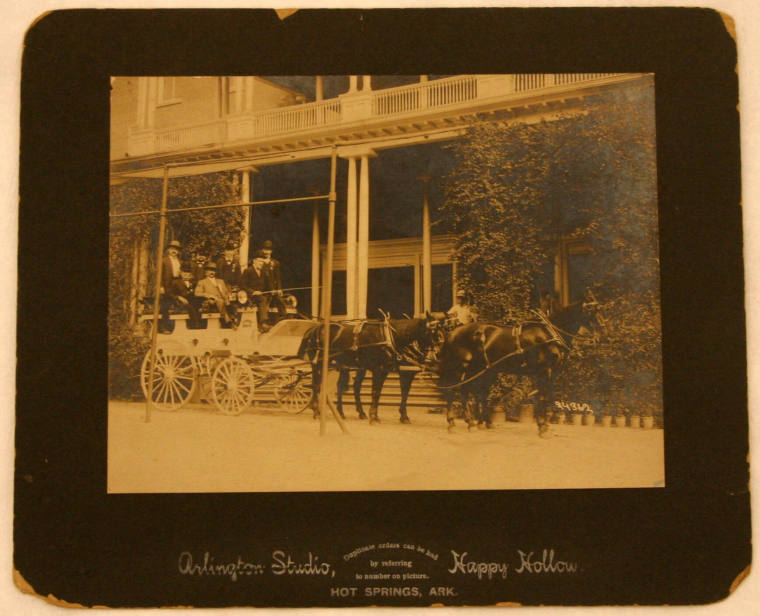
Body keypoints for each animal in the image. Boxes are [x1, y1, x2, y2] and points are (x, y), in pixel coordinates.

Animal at [296, 318, 440, 424]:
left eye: (439, 331)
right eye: (430, 332)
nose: (436, 353)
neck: (388, 336)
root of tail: (315, 328)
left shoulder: (389, 370)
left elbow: (396, 393)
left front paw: (399, 416)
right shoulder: (380, 370)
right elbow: (376, 393)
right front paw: (374, 416)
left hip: (343, 365)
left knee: (343, 386)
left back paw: (343, 412)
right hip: (319, 363)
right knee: (316, 384)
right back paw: (316, 411)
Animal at [434, 302, 600, 436]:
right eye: (592, 314)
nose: (598, 338)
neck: (548, 335)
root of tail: (452, 333)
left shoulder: (551, 374)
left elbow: (546, 397)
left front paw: (544, 425)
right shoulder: (544, 372)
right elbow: (543, 397)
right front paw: (543, 428)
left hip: (480, 370)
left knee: (469, 392)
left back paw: (475, 423)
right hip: (459, 367)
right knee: (452, 392)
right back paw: (454, 423)